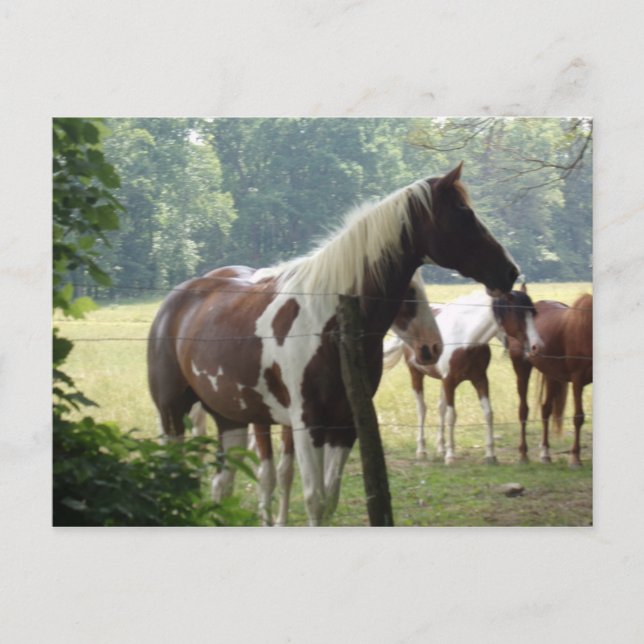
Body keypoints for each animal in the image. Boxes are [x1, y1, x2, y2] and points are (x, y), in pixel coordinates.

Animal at [147, 162, 519, 525]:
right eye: (463, 214)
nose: (510, 272)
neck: (329, 323)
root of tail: (174, 303)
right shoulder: (307, 423)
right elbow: (314, 500)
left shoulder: (344, 424)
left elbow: (329, 501)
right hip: (172, 416)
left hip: (230, 418)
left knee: (221, 485)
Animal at [383, 289, 542, 465]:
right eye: (517, 314)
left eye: (533, 313)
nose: (536, 346)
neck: (465, 339)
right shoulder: (449, 381)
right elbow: (452, 416)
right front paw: (451, 456)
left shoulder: (480, 379)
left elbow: (488, 412)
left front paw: (490, 454)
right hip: (416, 374)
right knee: (422, 409)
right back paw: (422, 451)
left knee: (440, 408)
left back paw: (441, 448)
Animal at [497, 289, 593, 467]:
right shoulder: (578, 379)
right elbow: (578, 417)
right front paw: (575, 458)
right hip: (522, 369)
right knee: (523, 410)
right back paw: (523, 454)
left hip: (551, 374)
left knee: (545, 409)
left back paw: (545, 454)